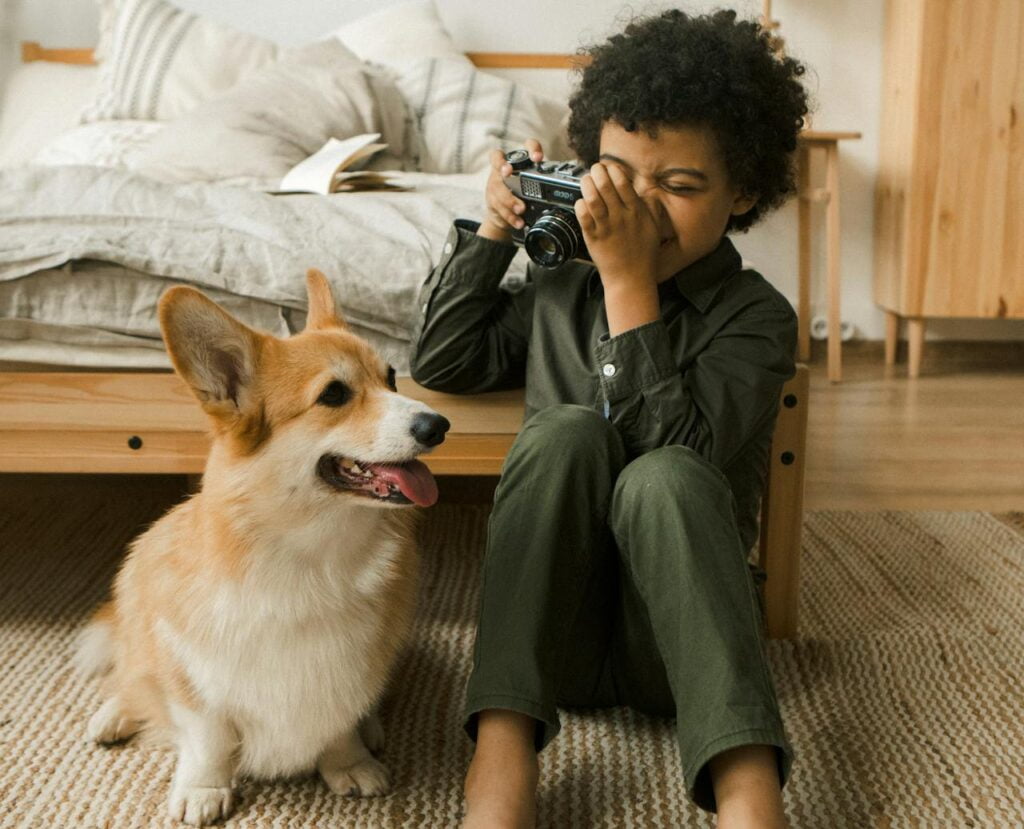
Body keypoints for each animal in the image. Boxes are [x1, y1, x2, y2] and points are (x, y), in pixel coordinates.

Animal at [75, 268, 448, 822]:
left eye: (392, 378)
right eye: (334, 395)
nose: (440, 425)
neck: (311, 556)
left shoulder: (348, 670)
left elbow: (339, 720)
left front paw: (349, 762)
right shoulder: (195, 678)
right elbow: (208, 738)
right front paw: (204, 789)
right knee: (131, 669)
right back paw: (112, 715)